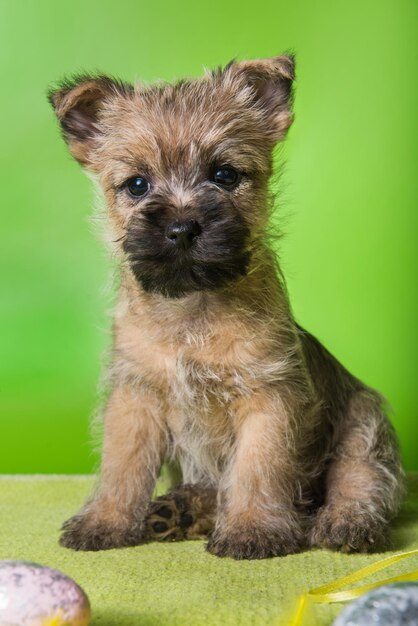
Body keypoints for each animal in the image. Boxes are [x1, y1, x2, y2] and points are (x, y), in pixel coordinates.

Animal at [49, 56, 404, 560]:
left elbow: (258, 467)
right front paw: (106, 520)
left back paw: (348, 522)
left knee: (360, 478)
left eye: (224, 175)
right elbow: (121, 464)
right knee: (214, 488)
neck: (192, 310)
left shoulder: (268, 397)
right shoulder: (135, 397)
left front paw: (252, 528)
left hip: (364, 420)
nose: (181, 227)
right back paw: (178, 511)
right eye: (136, 185)